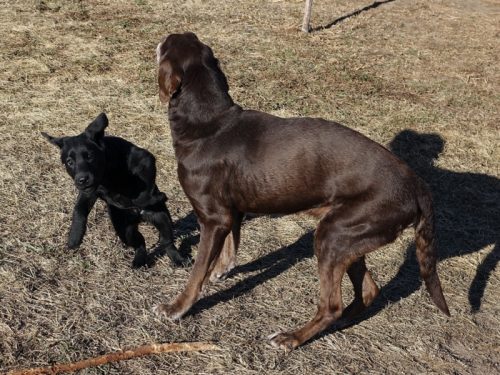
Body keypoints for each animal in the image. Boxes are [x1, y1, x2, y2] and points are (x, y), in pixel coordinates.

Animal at [42, 113, 188, 268]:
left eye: (90, 156)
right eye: (69, 162)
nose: (82, 179)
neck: (106, 174)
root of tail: (140, 218)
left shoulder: (146, 160)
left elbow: (146, 188)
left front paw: (153, 197)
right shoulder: (89, 192)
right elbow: (79, 209)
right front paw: (75, 237)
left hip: (162, 218)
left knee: (167, 241)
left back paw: (177, 259)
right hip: (124, 230)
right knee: (140, 243)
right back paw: (139, 260)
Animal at [153, 32, 450, 352]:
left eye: (168, 44)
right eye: (189, 39)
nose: (167, 34)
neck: (210, 123)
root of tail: (417, 185)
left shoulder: (211, 218)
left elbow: (197, 272)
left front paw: (176, 308)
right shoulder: (230, 212)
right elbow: (231, 243)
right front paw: (223, 269)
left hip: (333, 235)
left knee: (331, 305)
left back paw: (291, 337)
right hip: (349, 237)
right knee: (369, 290)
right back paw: (344, 321)